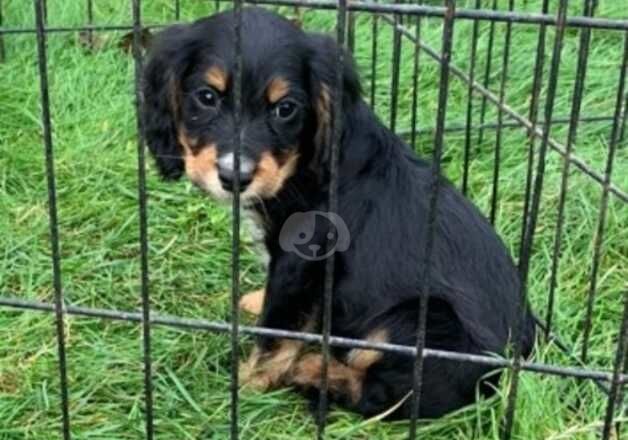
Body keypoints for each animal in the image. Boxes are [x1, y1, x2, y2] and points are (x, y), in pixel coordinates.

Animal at [142, 7, 536, 420]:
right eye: (206, 97)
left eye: (285, 109)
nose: (236, 177)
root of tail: (517, 363)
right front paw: (255, 303)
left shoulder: (302, 260)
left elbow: (276, 331)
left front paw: (244, 387)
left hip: (418, 322)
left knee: (383, 395)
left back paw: (312, 371)